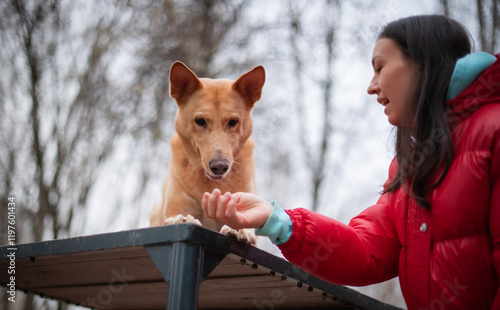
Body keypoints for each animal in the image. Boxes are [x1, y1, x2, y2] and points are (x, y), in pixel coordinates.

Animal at [149, 61, 264, 245]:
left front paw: (238, 230)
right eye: (200, 121)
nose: (219, 166)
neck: (211, 184)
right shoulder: (178, 204)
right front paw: (182, 219)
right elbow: (179, 215)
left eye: (233, 121)